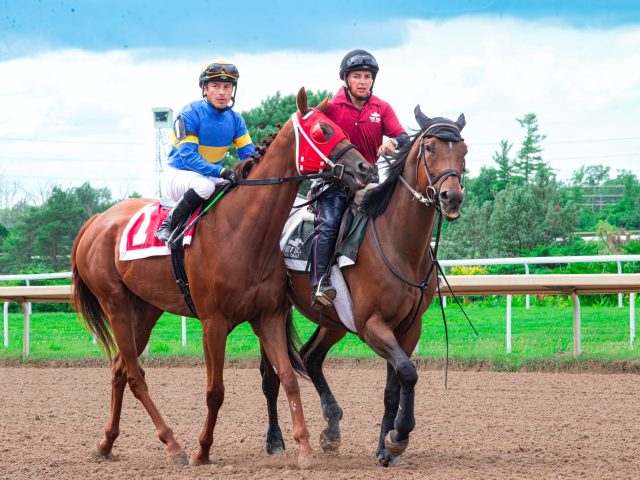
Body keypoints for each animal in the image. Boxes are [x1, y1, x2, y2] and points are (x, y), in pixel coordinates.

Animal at [70, 88, 374, 468]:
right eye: (322, 131)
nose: (365, 168)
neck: (242, 231)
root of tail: (95, 221)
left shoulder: (268, 315)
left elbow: (289, 378)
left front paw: (304, 449)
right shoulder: (213, 322)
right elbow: (215, 391)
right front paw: (202, 450)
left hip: (144, 308)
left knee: (119, 370)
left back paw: (106, 442)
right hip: (115, 305)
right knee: (135, 376)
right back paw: (173, 445)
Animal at [259, 108, 467, 466]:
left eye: (464, 150)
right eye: (429, 148)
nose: (451, 197)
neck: (398, 245)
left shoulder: (407, 328)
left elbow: (394, 386)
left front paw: (386, 448)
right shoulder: (372, 325)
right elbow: (408, 371)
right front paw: (398, 436)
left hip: (333, 322)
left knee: (310, 357)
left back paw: (331, 426)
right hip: (266, 312)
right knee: (271, 377)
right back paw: (275, 440)